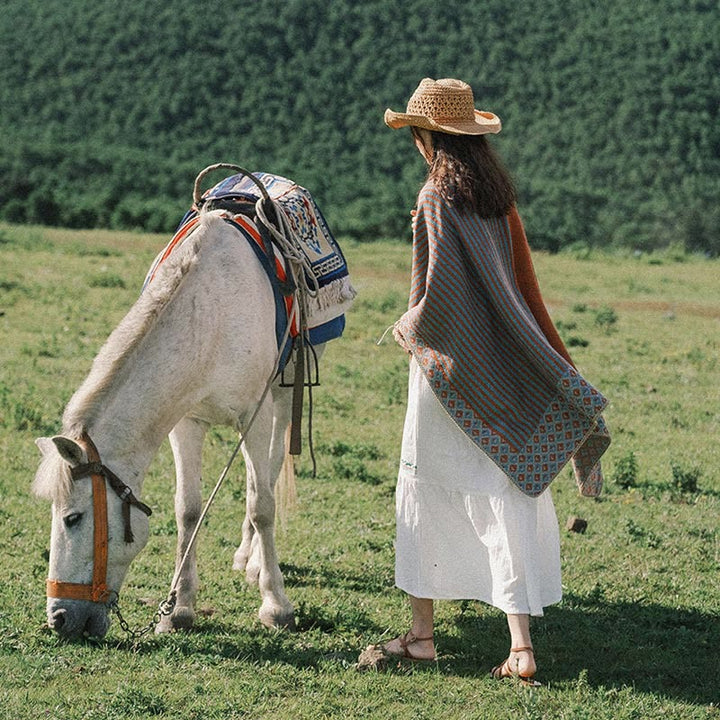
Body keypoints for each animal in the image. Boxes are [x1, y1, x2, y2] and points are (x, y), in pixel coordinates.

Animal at [32, 211, 308, 640]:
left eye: (72, 518)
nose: (58, 619)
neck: (213, 315)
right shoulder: (185, 421)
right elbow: (188, 509)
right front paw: (177, 609)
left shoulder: (255, 414)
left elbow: (262, 504)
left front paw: (276, 606)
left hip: (282, 395)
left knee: (269, 470)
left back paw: (254, 563)